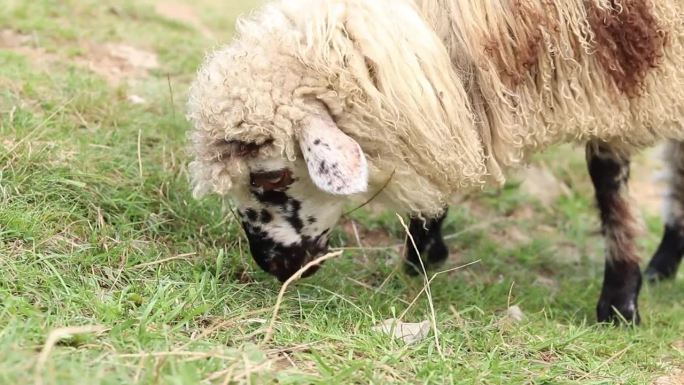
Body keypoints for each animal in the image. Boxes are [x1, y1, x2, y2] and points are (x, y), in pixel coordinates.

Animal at [184, 0, 680, 324]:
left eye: (272, 177)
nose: (271, 265)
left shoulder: (618, 76)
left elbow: (609, 184)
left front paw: (619, 300)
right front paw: (422, 249)